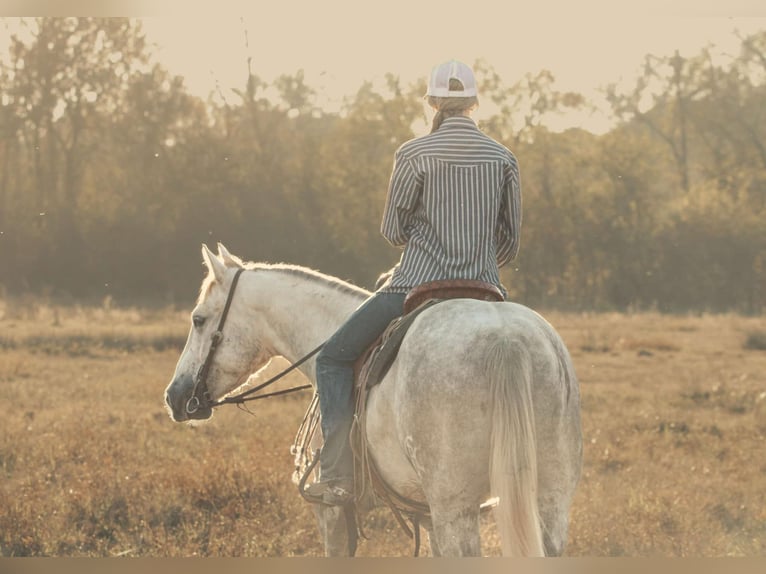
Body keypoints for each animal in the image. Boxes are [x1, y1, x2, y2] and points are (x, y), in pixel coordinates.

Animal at [164, 244, 584, 560]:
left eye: (198, 319)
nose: (175, 396)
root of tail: (505, 341)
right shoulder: (425, 513)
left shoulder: (333, 513)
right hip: (549, 498)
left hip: (457, 507)